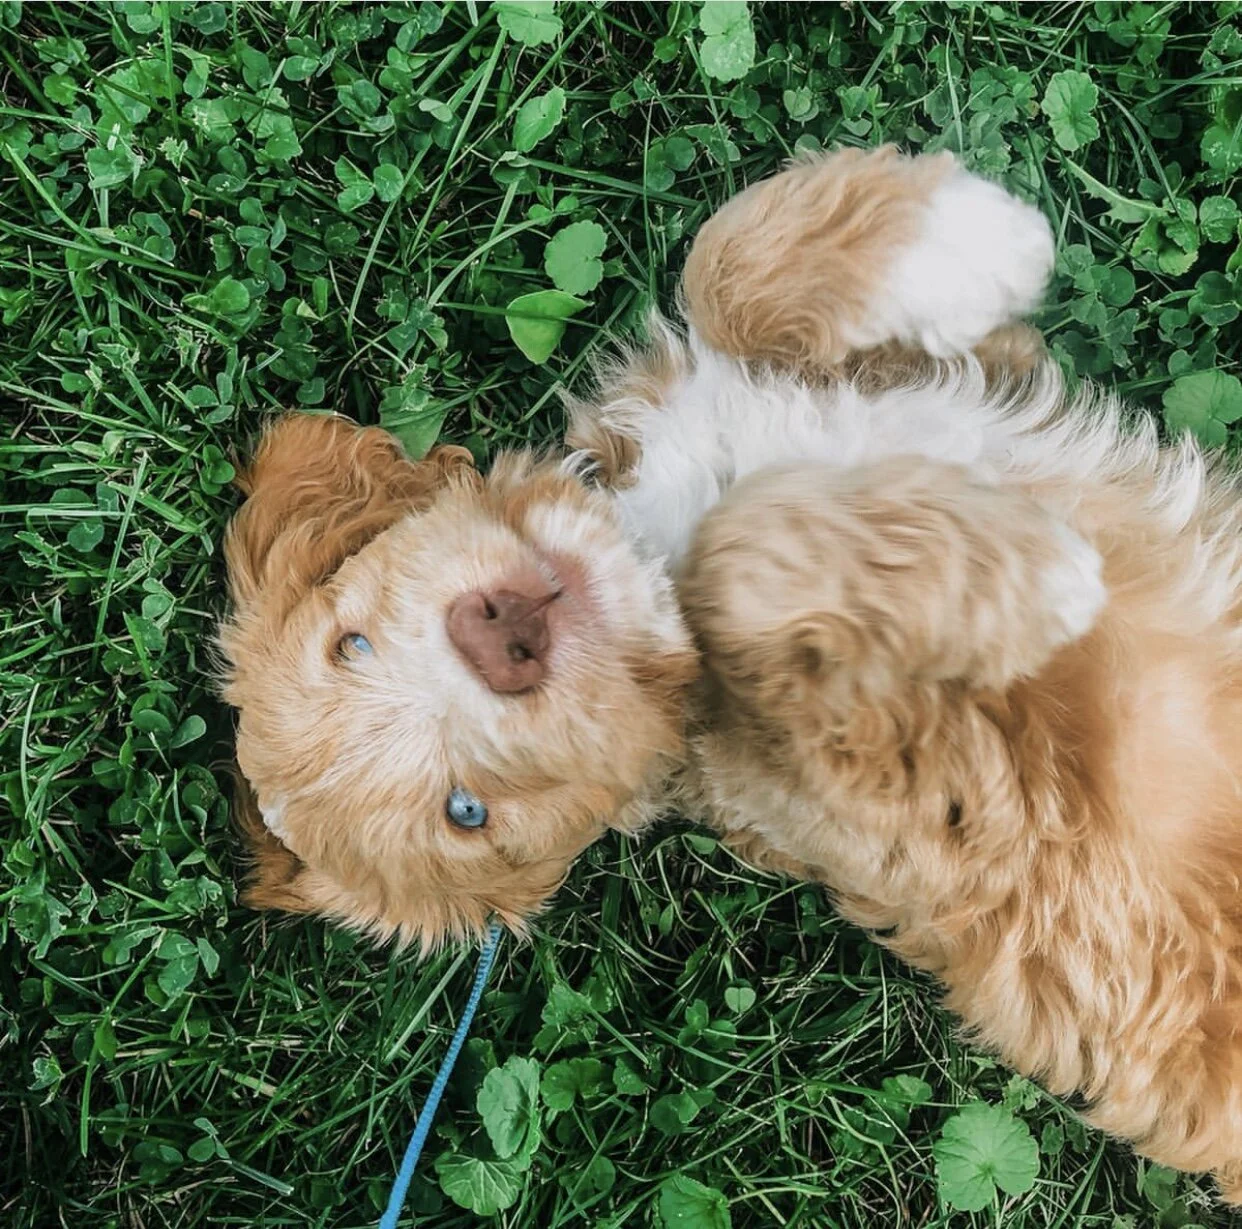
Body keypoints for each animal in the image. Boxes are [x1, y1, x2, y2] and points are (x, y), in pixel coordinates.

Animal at [218, 148, 1242, 1196]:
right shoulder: (938, 790)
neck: (649, 539)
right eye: (467, 812)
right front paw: (1030, 575)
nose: (499, 640)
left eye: (349, 641)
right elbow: (741, 556)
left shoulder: (949, 373)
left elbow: (726, 259)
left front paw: (971, 234)